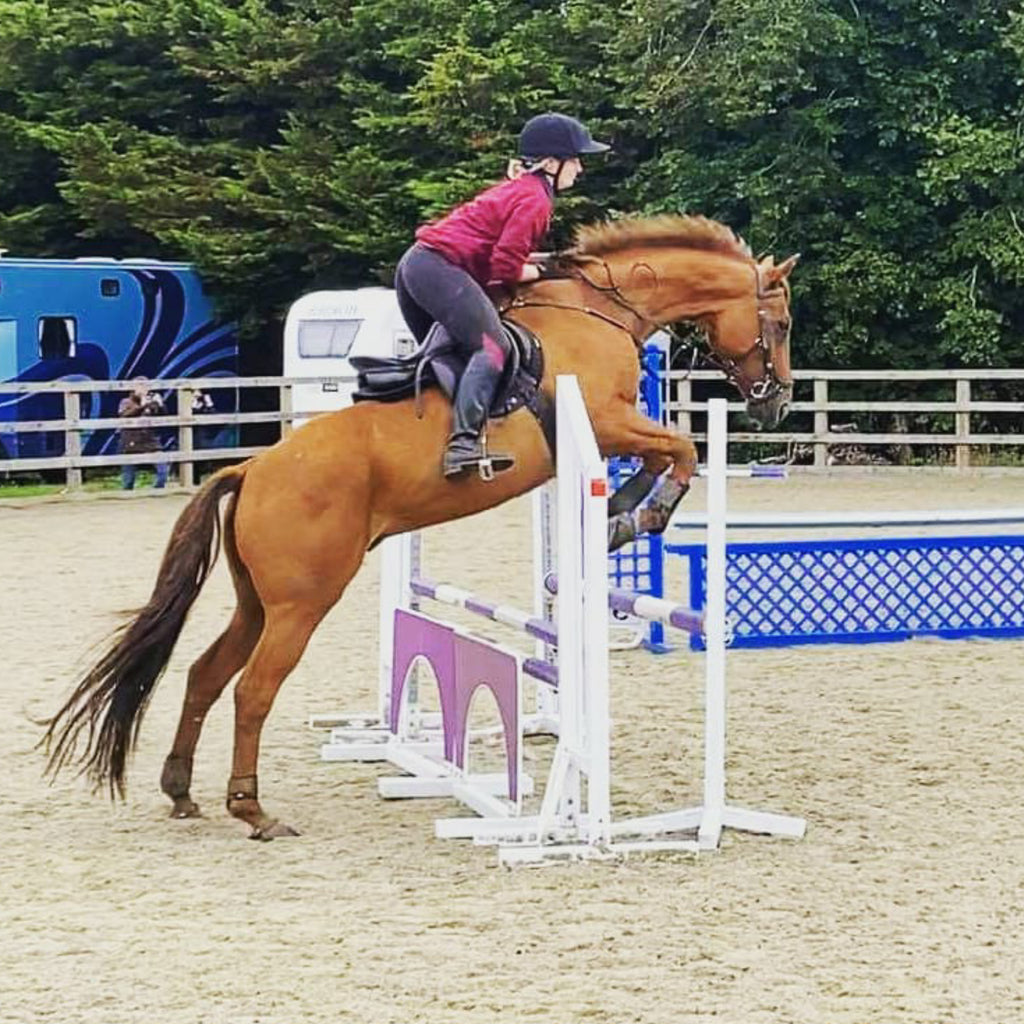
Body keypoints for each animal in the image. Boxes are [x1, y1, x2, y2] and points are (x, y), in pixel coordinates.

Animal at [41, 216, 798, 839]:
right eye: (784, 322)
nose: (777, 402)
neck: (601, 311)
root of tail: (252, 470)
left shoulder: (609, 427)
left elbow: (669, 450)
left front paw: (621, 510)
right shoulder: (603, 421)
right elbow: (681, 447)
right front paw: (635, 512)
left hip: (258, 600)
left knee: (205, 674)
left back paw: (181, 791)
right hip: (302, 601)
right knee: (253, 688)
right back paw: (252, 810)